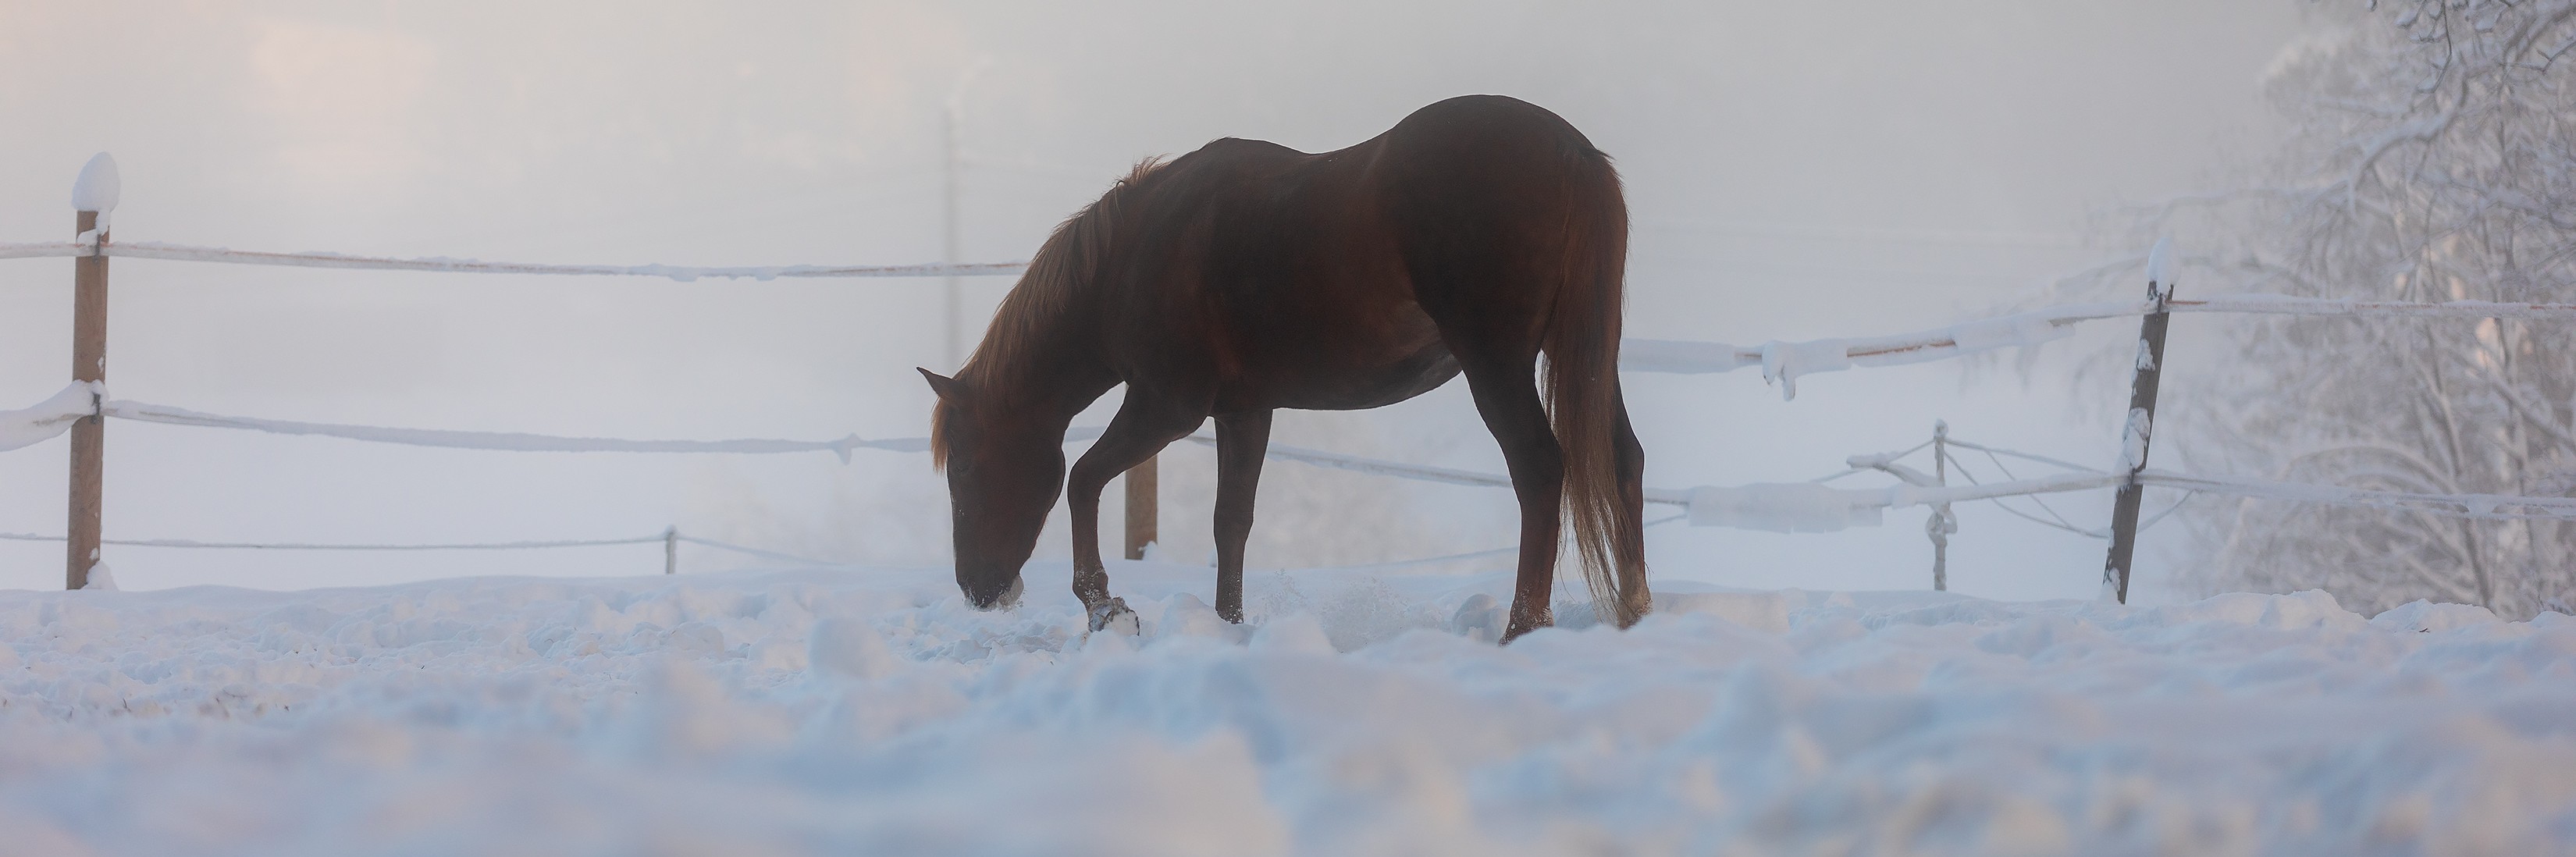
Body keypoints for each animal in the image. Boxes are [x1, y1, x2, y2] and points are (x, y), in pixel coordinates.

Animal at [919, 94, 1648, 643]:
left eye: (965, 466)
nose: (977, 590)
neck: (1133, 255)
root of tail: (1573, 154)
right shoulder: (1245, 411)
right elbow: (1230, 520)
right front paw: (1228, 625)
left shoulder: (1164, 407)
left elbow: (1083, 480)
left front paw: (1105, 608)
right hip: (1585, 355)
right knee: (1623, 460)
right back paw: (1633, 612)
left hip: (1497, 365)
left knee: (1539, 469)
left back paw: (1523, 628)